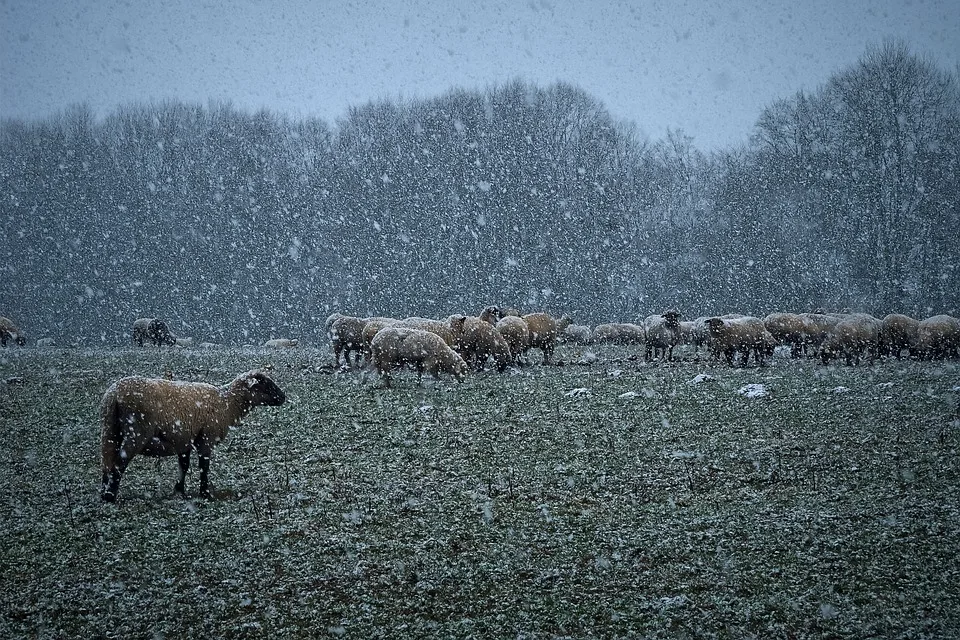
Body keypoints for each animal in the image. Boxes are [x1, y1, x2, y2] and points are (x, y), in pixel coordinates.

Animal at [99, 370, 286, 502]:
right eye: (265, 384)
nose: (283, 397)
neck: (227, 404)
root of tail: (113, 395)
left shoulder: (184, 441)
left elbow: (184, 466)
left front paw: (180, 491)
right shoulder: (206, 439)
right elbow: (204, 466)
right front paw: (205, 494)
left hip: (109, 430)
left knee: (107, 462)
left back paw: (104, 494)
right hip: (136, 432)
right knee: (119, 462)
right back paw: (110, 496)